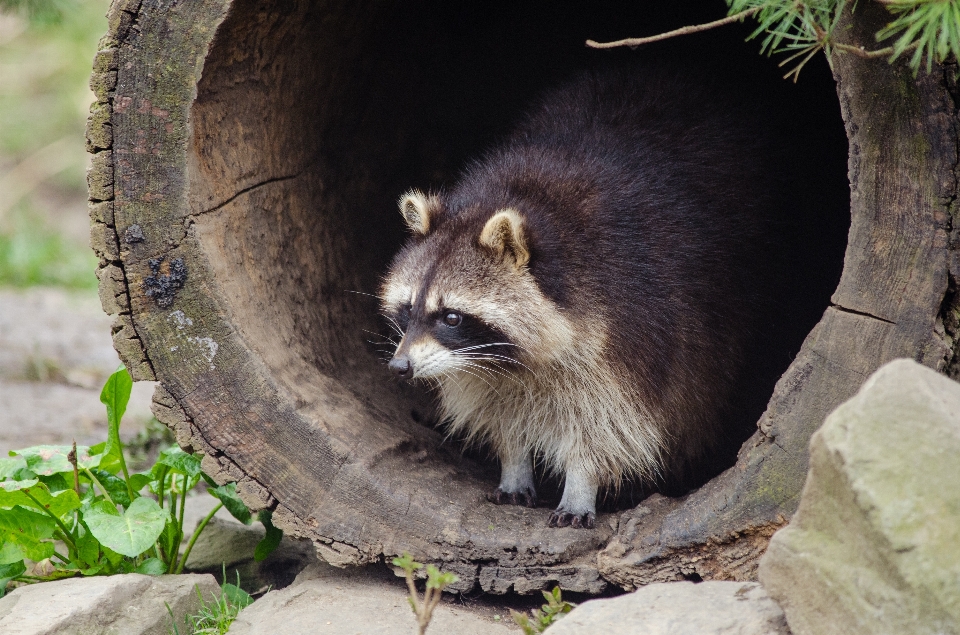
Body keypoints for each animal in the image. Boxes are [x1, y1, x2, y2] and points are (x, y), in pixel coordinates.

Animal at [382, 62, 824, 528]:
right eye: (408, 309)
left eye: (451, 316)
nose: (400, 367)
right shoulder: (483, 362)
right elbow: (496, 404)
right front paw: (514, 461)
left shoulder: (639, 320)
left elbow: (610, 420)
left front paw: (581, 483)